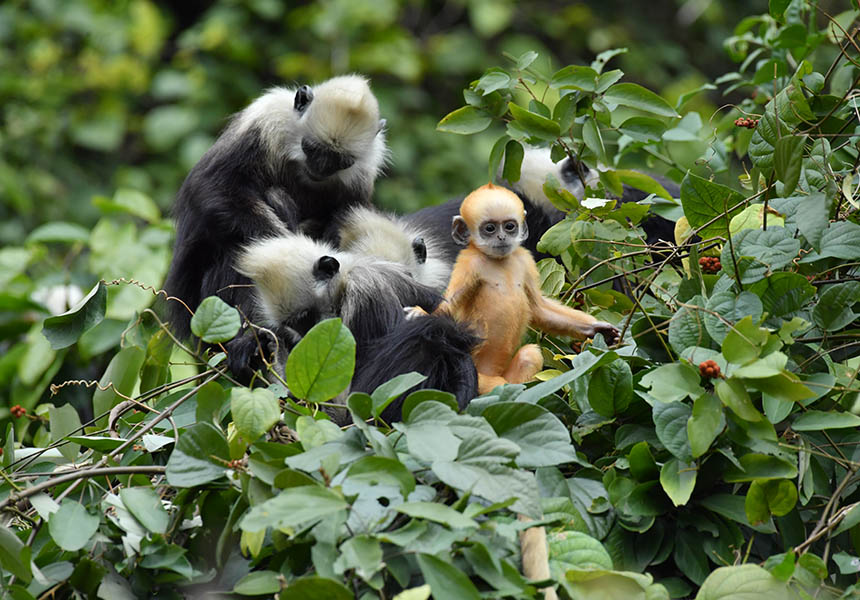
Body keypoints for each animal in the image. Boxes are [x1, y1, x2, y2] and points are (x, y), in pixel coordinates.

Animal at [162, 74, 390, 346]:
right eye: (311, 149)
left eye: (339, 162)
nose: (319, 169)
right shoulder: (265, 120)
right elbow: (211, 188)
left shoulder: (364, 169)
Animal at [235, 233, 478, 422]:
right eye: (294, 324)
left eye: (306, 317)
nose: (309, 335)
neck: (346, 280)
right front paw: (254, 350)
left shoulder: (365, 289)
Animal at [428, 184, 620, 394]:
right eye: (490, 228)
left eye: (509, 226)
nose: (502, 237)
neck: (499, 261)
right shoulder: (469, 264)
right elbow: (447, 307)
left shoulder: (524, 259)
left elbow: (539, 309)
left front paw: (598, 329)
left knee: (530, 355)